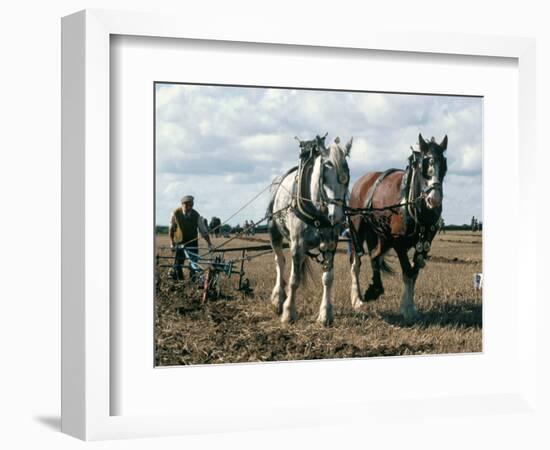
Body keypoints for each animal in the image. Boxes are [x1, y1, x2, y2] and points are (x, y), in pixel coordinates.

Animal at [268, 133, 354, 324]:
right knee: (279, 262)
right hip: (275, 233)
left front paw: (325, 314)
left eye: (347, 177)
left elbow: (328, 278)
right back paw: (278, 298)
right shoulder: (297, 245)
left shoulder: (330, 243)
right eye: (324, 176)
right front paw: (288, 313)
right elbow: (294, 279)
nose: (337, 217)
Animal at [350, 134, 448, 320]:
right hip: (357, 230)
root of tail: (363, 180)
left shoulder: (425, 243)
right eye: (424, 164)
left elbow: (414, 273)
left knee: (375, 256)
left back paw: (375, 289)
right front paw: (407, 308)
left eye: (444, 165)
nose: (434, 199)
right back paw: (357, 300)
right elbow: (407, 272)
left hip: (383, 237)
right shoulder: (398, 242)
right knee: (356, 262)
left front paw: (409, 305)